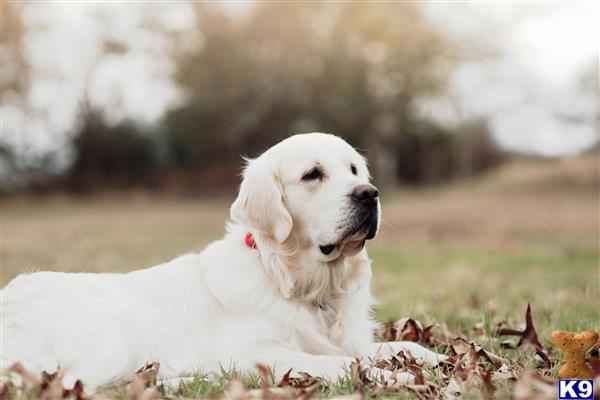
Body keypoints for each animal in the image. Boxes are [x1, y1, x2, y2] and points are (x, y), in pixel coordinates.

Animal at [1, 134, 446, 388]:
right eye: (312, 174)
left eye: (354, 169)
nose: (369, 194)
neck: (291, 281)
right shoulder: (258, 353)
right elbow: (341, 364)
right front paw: (395, 377)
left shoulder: (348, 337)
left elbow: (395, 346)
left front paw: (439, 360)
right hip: (112, 338)